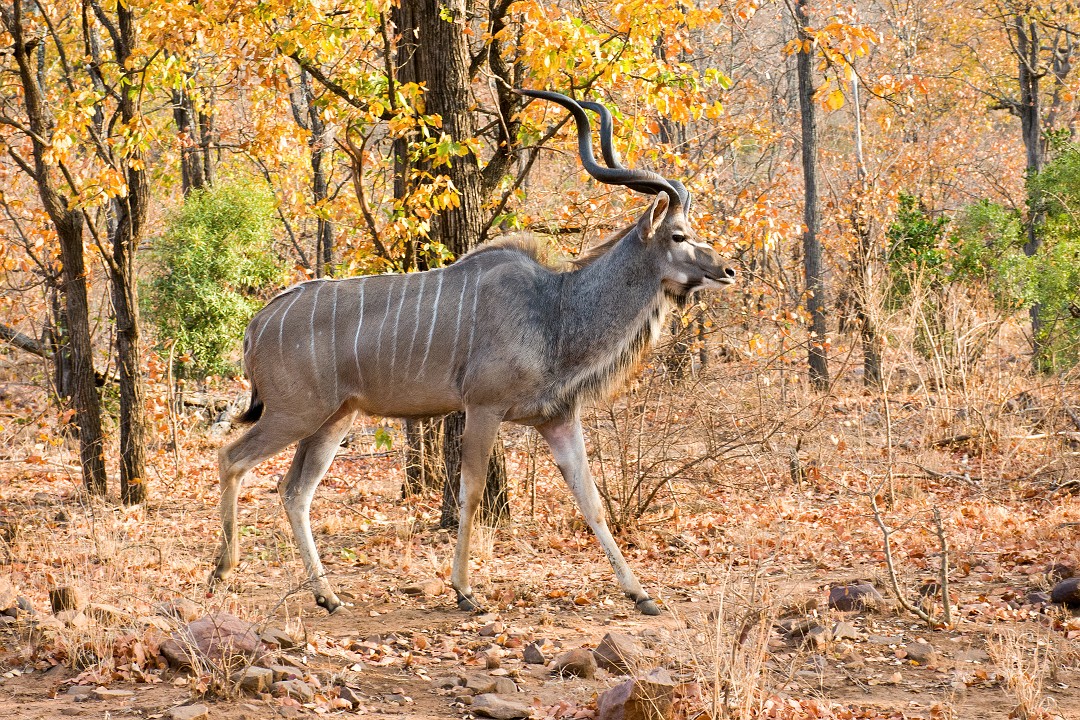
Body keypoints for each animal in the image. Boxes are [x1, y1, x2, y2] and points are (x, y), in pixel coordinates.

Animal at [211, 89, 737, 616]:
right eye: (679, 235)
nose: (728, 270)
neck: (556, 309)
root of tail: (255, 327)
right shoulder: (484, 408)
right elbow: (472, 492)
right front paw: (464, 591)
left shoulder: (558, 418)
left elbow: (590, 501)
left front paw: (641, 593)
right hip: (295, 413)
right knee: (232, 458)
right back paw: (224, 570)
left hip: (334, 419)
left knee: (295, 490)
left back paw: (329, 596)